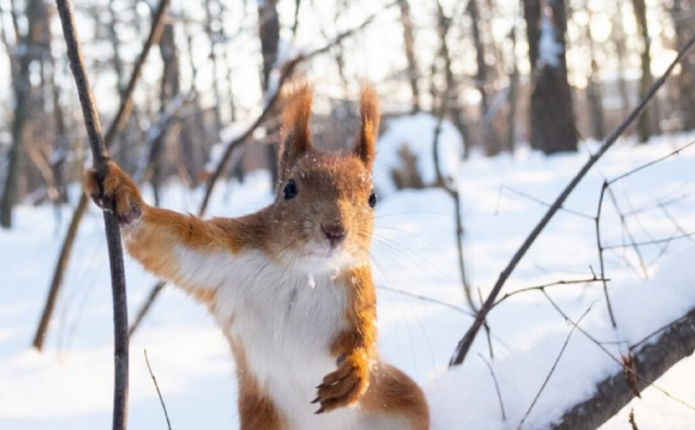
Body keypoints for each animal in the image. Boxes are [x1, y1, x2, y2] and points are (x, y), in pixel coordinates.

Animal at [85, 83, 429, 430]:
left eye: (373, 198)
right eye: (289, 189)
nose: (334, 231)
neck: (306, 271)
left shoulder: (359, 294)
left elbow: (365, 337)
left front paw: (354, 373)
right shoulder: (225, 255)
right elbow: (165, 243)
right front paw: (122, 194)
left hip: (404, 404)